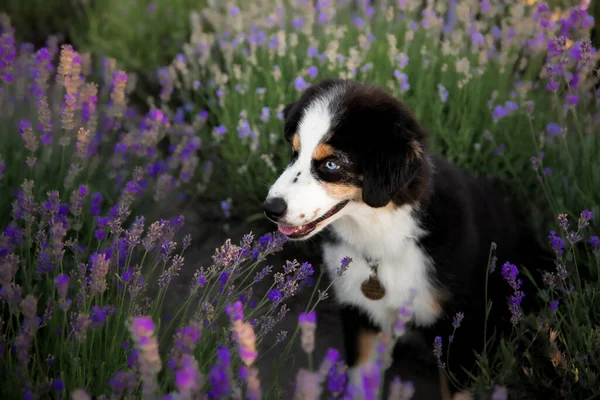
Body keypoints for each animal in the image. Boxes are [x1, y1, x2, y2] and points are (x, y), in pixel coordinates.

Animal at [262, 78, 544, 394]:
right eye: (294, 152)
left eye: (331, 164)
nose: (270, 209)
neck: (385, 235)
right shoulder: (362, 315)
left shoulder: (460, 332)